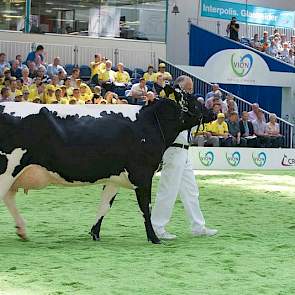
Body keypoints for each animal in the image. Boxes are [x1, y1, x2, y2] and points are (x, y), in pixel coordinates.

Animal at [0, 84, 213, 244]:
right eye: (194, 100)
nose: (212, 112)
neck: (150, 122)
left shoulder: (114, 177)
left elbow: (104, 205)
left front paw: (94, 233)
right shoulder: (142, 174)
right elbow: (146, 208)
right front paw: (154, 238)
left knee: (9, 198)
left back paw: (22, 230)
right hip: (7, 169)